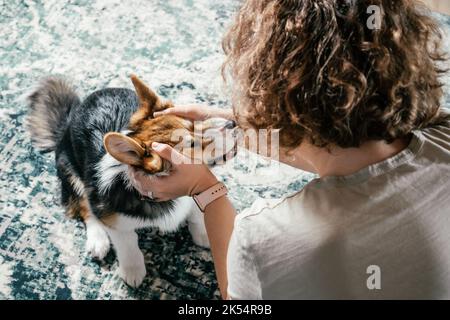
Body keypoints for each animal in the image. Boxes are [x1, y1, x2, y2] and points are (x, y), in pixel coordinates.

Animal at [26, 75, 237, 288]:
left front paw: (205, 233)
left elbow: (195, 212)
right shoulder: (113, 219)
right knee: (85, 207)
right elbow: (128, 243)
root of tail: (68, 122)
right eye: (192, 144)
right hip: (70, 172)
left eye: (194, 122)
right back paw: (98, 240)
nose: (232, 124)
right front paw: (132, 271)